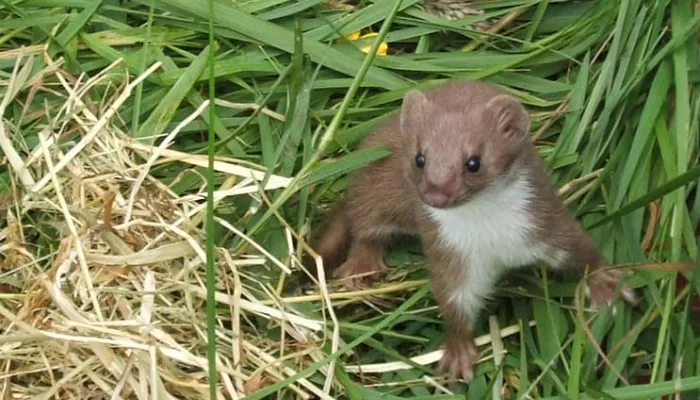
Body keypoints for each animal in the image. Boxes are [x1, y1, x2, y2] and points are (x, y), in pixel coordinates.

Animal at [310, 79, 636, 382]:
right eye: (420, 158)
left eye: (474, 162)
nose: (436, 194)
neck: (490, 234)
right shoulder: (452, 254)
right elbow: (454, 299)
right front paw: (458, 353)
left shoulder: (545, 223)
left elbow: (581, 248)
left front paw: (606, 284)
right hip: (373, 192)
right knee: (363, 226)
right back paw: (361, 266)